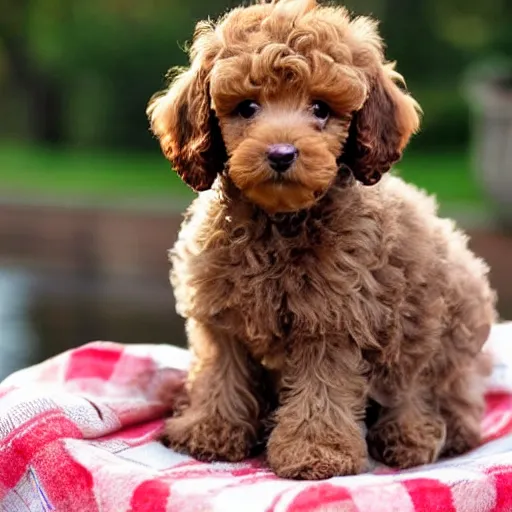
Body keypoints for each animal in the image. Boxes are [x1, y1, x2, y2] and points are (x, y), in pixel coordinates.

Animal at [147, 0, 496, 480]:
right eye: (247, 107)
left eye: (321, 108)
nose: (281, 154)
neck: (279, 221)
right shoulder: (222, 317)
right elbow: (220, 373)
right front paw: (210, 430)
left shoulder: (333, 320)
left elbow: (321, 390)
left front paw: (316, 451)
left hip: (444, 318)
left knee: (433, 390)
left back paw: (412, 436)